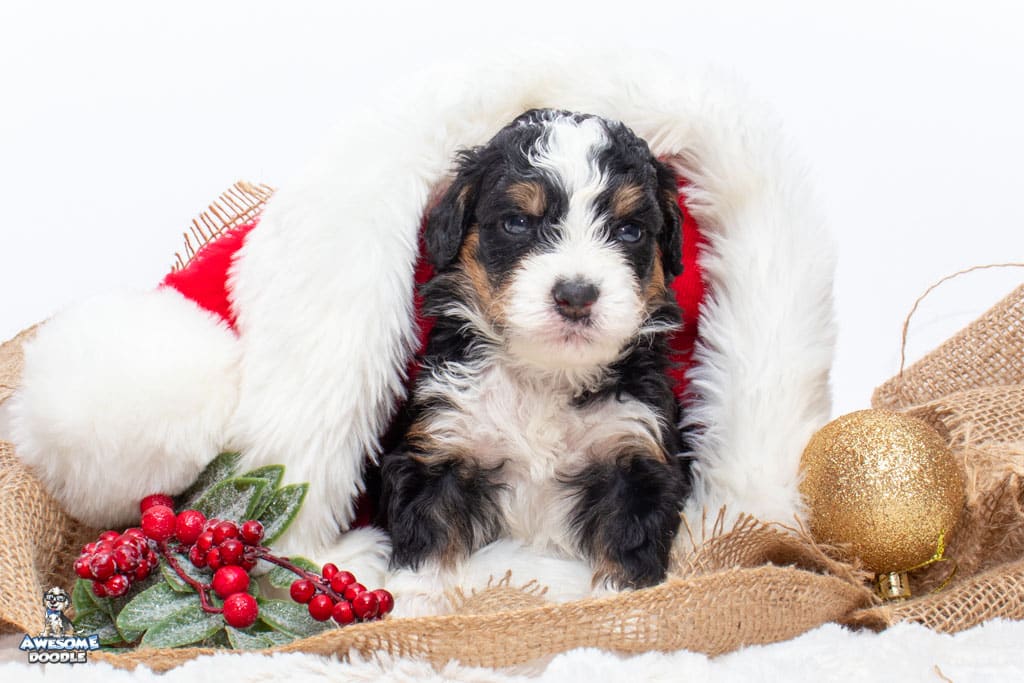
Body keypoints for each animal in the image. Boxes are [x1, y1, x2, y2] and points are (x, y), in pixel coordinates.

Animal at [380, 108, 692, 589]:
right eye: (518, 223)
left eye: (629, 230)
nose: (576, 295)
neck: (547, 374)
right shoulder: (441, 444)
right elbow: (429, 535)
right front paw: (415, 599)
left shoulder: (635, 455)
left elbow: (627, 553)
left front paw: (619, 601)